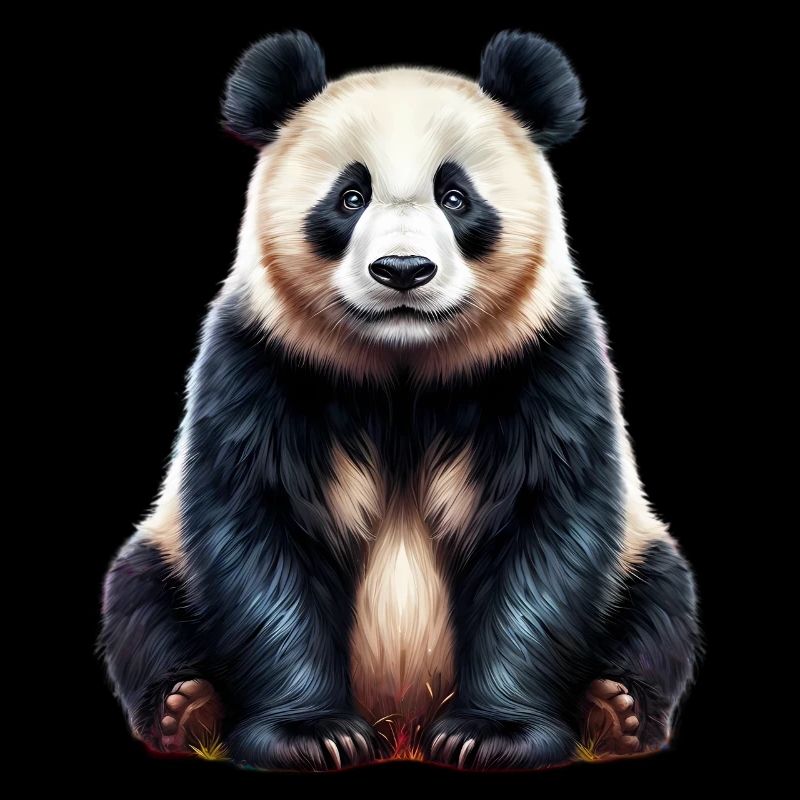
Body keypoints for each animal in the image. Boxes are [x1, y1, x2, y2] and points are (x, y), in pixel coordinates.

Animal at [100, 30, 699, 770]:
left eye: (456, 197)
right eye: (350, 196)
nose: (404, 270)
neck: (402, 363)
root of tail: (401, 721)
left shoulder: (544, 361)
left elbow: (545, 528)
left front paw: (491, 736)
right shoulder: (261, 361)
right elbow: (260, 529)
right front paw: (311, 736)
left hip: (637, 555)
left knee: (662, 602)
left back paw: (617, 712)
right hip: (166, 552)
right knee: (138, 599)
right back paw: (185, 709)